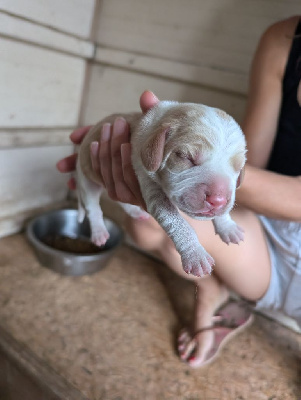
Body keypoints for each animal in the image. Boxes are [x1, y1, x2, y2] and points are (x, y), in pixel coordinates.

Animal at [76, 99, 245, 278]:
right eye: (186, 157)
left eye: (238, 168)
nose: (217, 200)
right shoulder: (148, 180)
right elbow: (178, 222)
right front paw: (195, 254)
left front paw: (228, 227)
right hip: (86, 178)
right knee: (93, 207)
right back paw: (99, 232)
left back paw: (135, 212)